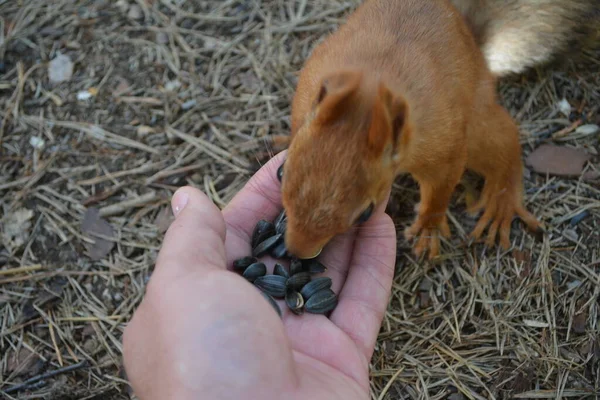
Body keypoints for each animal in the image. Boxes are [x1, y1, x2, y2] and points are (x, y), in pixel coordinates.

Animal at [278, 0, 544, 260]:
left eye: (366, 213)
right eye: (281, 172)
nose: (297, 252)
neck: (375, 77)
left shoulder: (440, 144)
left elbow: (439, 189)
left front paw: (428, 227)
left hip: (477, 124)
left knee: (503, 138)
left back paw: (502, 201)